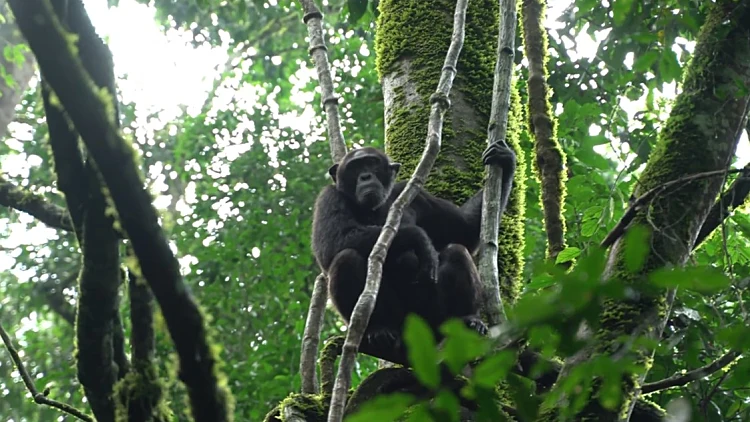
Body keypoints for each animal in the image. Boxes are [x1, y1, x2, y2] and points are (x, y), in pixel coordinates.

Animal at [312, 143, 516, 362]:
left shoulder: (418, 196)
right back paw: (379, 330)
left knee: (456, 250)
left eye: (371, 163)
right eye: (354, 167)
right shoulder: (328, 197)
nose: (365, 176)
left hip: (434, 321)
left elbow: (464, 230)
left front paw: (505, 159)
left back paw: (469, 320)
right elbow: (334, 241)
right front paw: (419, 238)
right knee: (346, 258)